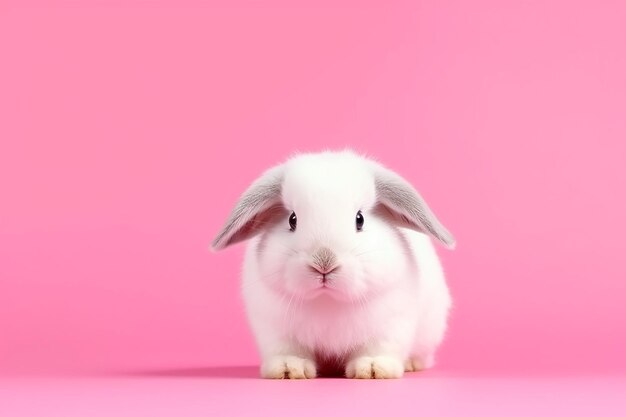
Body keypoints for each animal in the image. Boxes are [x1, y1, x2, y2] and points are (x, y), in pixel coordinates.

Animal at [211, 150, 454, 376]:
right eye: (292, 219)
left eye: (359, 219)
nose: (324, 262)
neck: (327, 300)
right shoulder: (275, 330)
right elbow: (288, 351)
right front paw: (289, 369)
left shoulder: (391, 325)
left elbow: (378, 348)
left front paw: (373, 368)